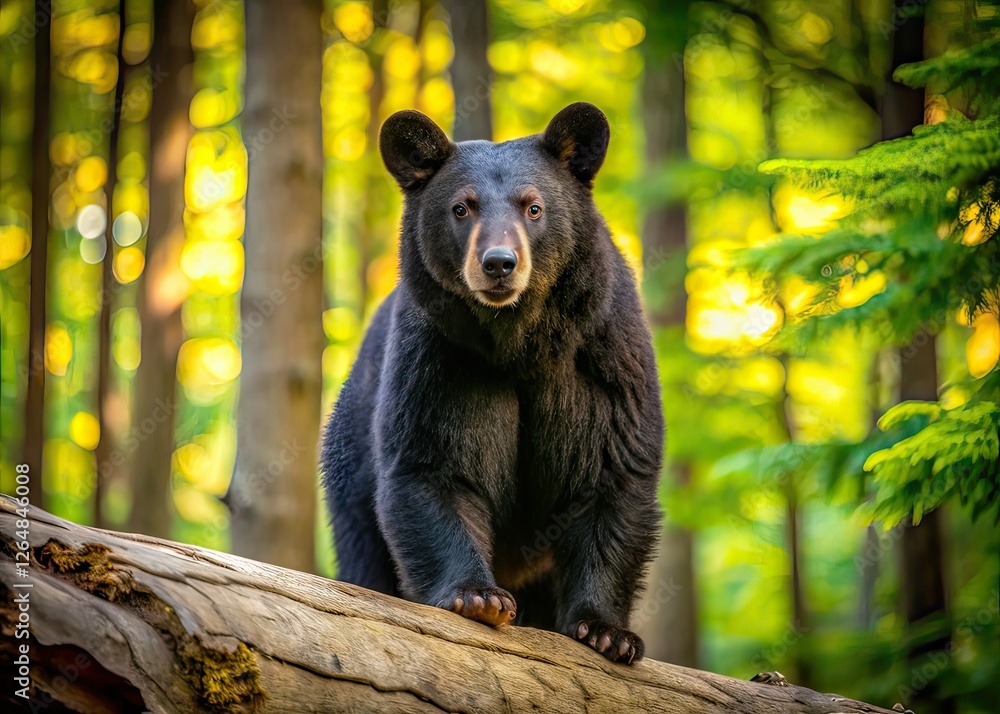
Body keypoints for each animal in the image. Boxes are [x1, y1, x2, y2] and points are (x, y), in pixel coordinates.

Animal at [320, 102, 663, 664]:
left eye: (533, 207)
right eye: (462, 208)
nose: (499, 263)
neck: (519, 343)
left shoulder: (601, 357)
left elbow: (610, 469)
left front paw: (606, 632)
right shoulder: (440, 358)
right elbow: (435, 464)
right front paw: (478, 596)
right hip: (350, 457)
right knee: (362, 547)